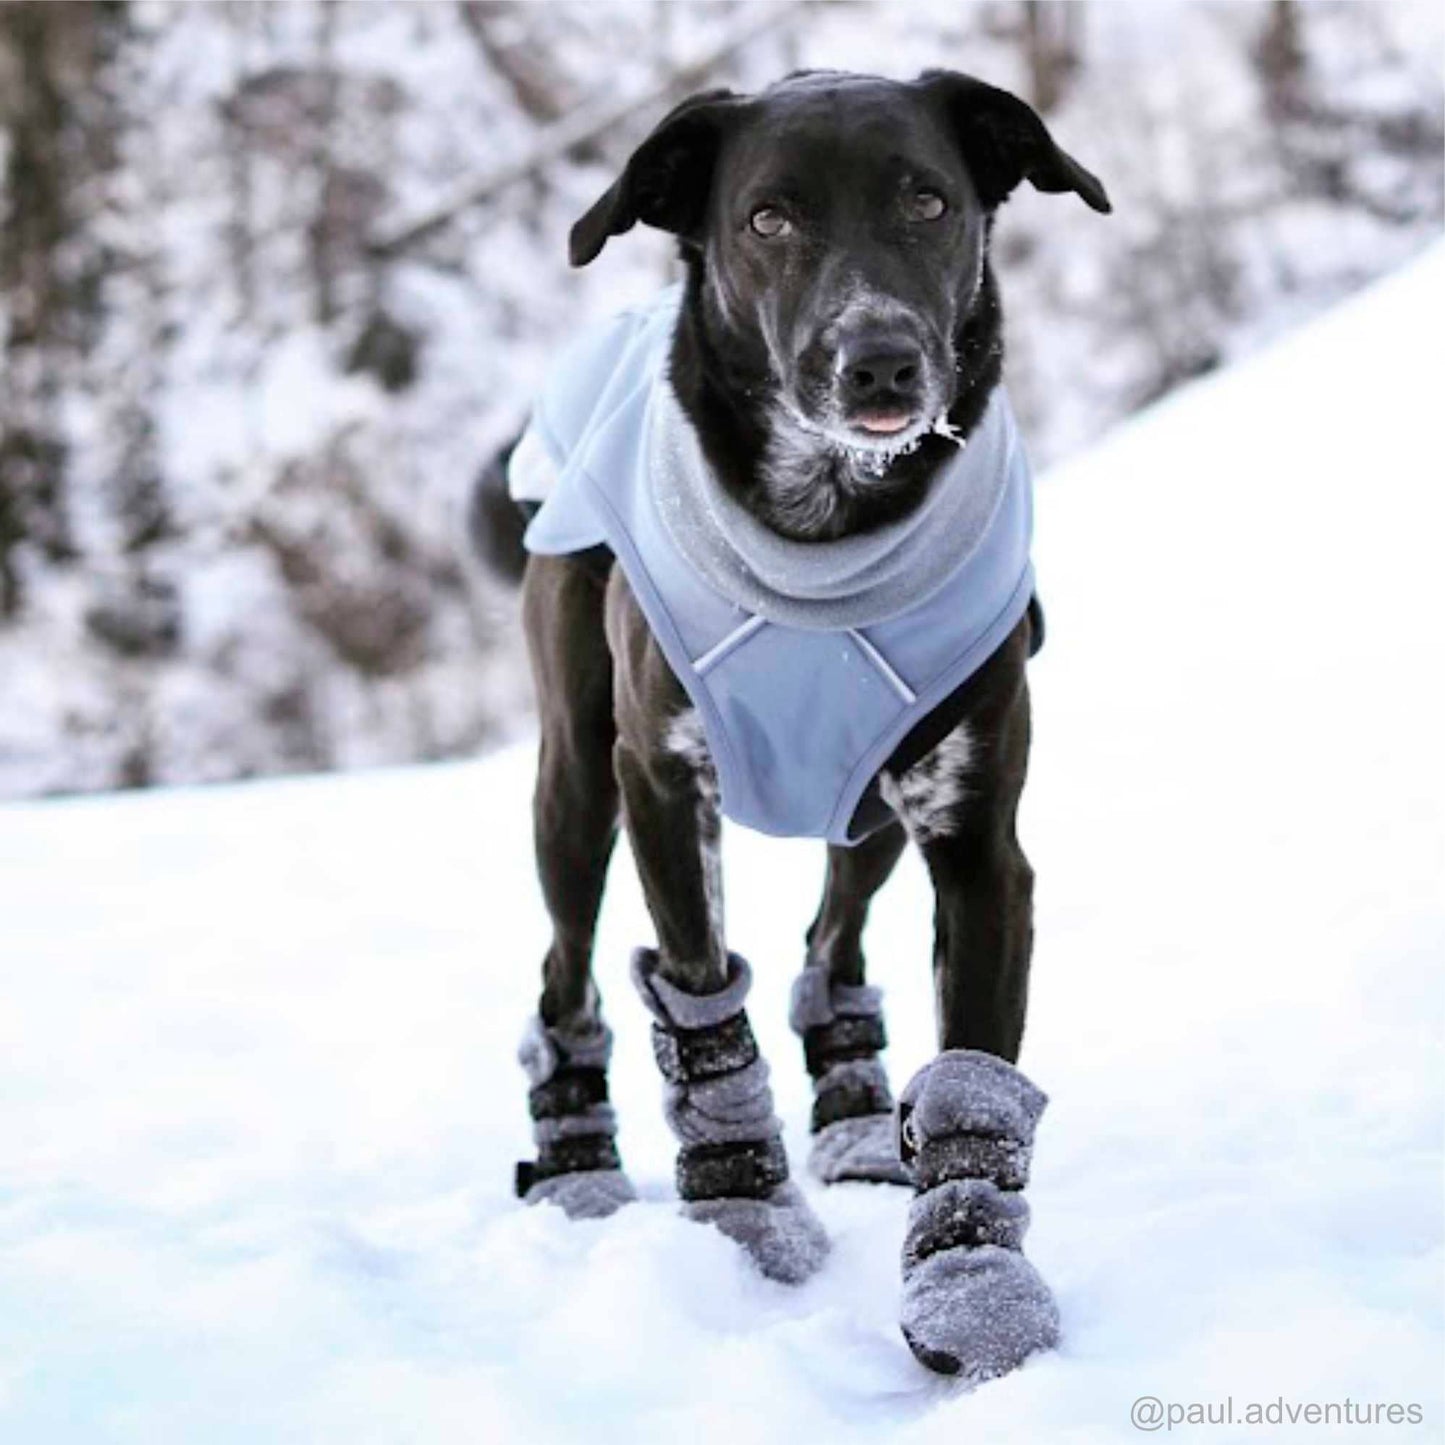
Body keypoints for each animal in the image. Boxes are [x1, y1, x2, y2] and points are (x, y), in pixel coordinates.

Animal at [473, 70, 1103, 1375]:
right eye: (766, 218)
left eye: (927, 200)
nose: (878, 364)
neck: (827, 532)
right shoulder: (660, 784)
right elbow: (700, 998)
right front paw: (743, 1209)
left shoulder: (976, 841)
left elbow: (974, 1077)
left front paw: (971, 1284)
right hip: (574, 787)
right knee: (565, 974)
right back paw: (574, 1167)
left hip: (867, 808)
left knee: (831, 941)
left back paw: (858, 1120)